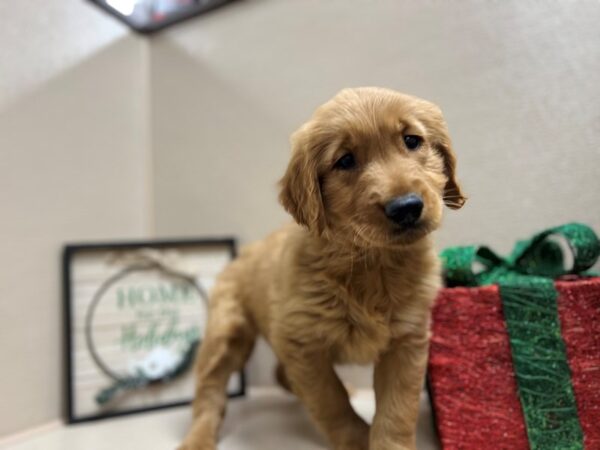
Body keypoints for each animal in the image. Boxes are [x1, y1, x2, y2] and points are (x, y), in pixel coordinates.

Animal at [180, 88, 466, 450]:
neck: (372, 263)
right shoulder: (301, 343)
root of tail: (245, 252)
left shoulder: (407, 339)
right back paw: (197, 438)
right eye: (345, 161)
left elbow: (396, 410)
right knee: (209, 389)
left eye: (412, 140)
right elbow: (331, 400)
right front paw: (356, 439)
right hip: (226, 332)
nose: (406, 207)